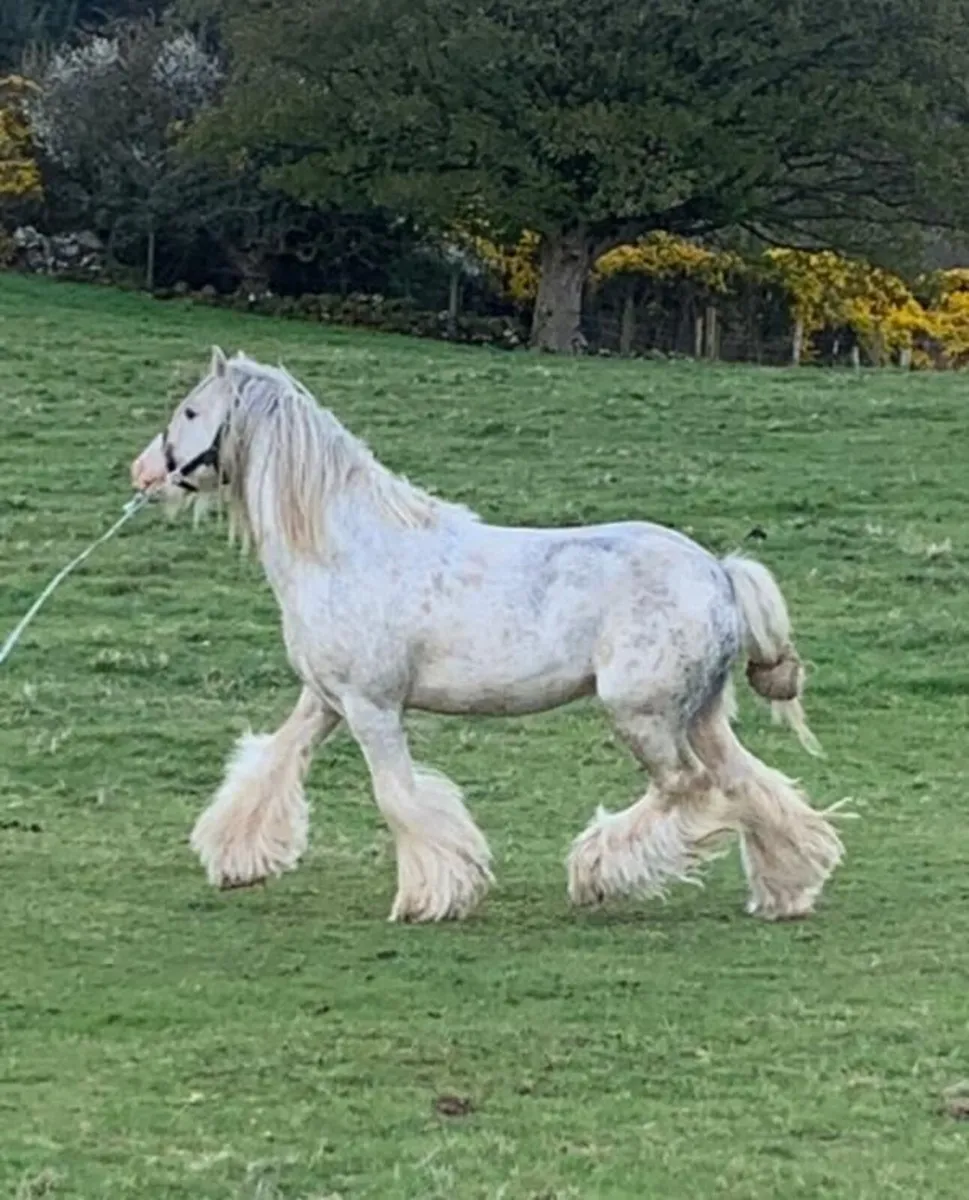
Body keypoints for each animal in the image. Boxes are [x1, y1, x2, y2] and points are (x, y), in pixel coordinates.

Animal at [130, 347, 843, 924]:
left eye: (191, 410)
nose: (142, 475)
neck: (345, 547)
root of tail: (718, 572)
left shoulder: (372, 707)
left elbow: (399, 796)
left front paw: (432, 897)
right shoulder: (325, 701)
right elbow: (273, 764)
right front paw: (235, 862)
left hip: (642, 716)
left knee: (688, 790)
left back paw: (597, 875)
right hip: (700, 716)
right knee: (750, 785)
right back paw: (788, 889)